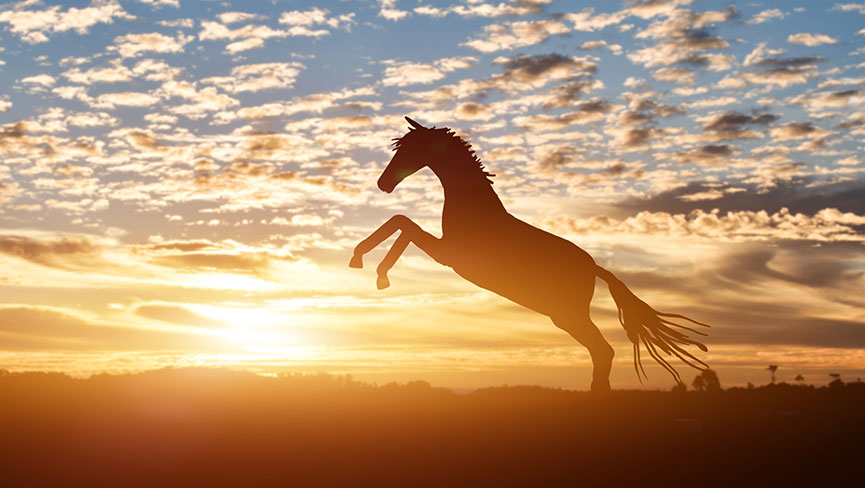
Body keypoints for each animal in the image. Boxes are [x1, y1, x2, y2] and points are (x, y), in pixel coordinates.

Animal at [350, 117, 709, 391]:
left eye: (409, 149)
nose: (383, 183)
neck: (474, 209)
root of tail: (594, 268)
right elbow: (401, 226)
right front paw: (372, 269)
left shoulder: (448, 255)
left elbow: (402, 224)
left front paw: (369, 266)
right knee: (600, 354)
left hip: (568, 316)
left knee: (603, 352)